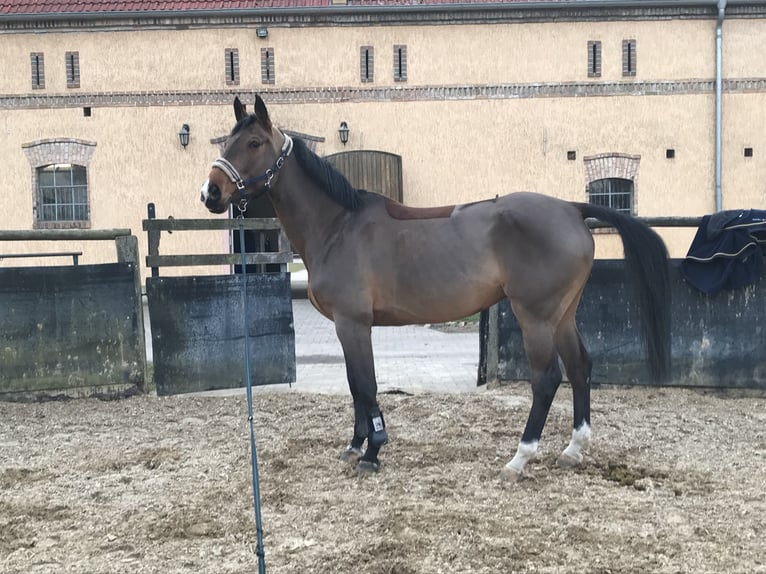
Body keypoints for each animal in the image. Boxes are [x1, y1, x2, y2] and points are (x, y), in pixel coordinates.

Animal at [200, 94, 671, 481]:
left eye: (254, 143)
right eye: (225, 143)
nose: (210, 192)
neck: (338, 226)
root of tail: (572, 209)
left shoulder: (353, 324)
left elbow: (366, 385)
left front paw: (372, 452)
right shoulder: (345, 327)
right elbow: (354, 385)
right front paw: (354, 446)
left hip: (535, 317)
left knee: (546, 379)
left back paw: (520, 458)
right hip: (563, 315)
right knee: (579, 368)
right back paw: (573, 449)